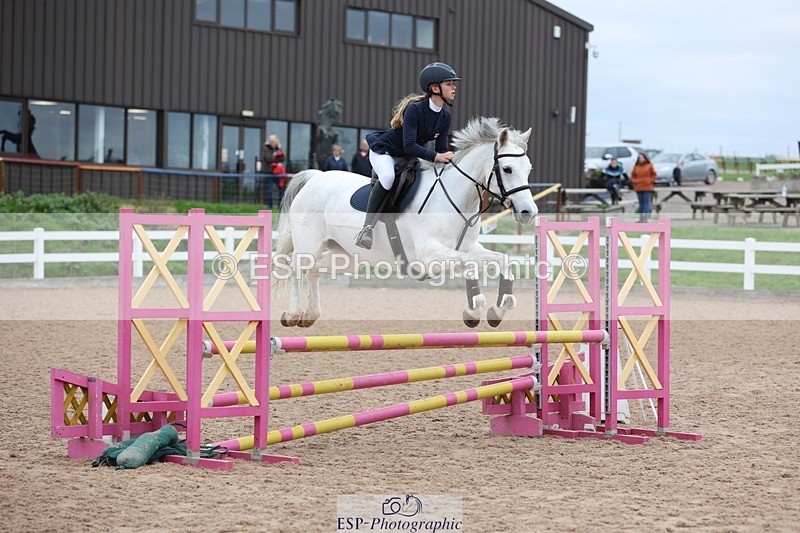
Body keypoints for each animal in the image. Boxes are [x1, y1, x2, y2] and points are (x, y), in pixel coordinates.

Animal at [273, 117, 538, 328]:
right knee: (296, 268)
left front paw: (497, 310)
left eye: (529, 169)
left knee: (314, 270)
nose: (529, 212)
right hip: (310, 245)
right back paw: (294, 314)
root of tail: (314, 177)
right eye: (507, 169)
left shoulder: (467, 249)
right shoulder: (429, 255)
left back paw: (310, 315)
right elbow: (470, 265)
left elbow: (502, 260)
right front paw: (475, 310)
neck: (455, 198)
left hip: (345, 256)